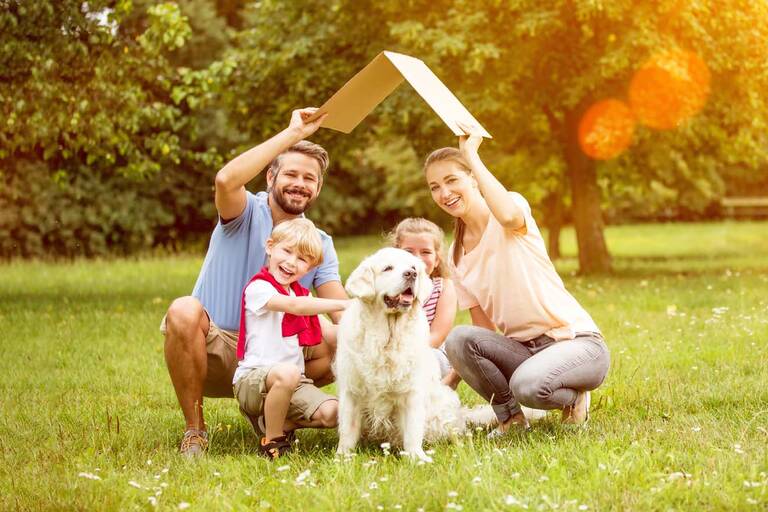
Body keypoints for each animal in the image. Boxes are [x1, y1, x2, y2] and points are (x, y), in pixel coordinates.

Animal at [336, 248, 492, 464]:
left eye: (412, 267)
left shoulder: (411, 392)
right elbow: (347, 429)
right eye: (388, 268)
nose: (411, 274)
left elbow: (412, 430)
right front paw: (342, 457)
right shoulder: (352, 390)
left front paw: (416, 457)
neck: (388, 337)